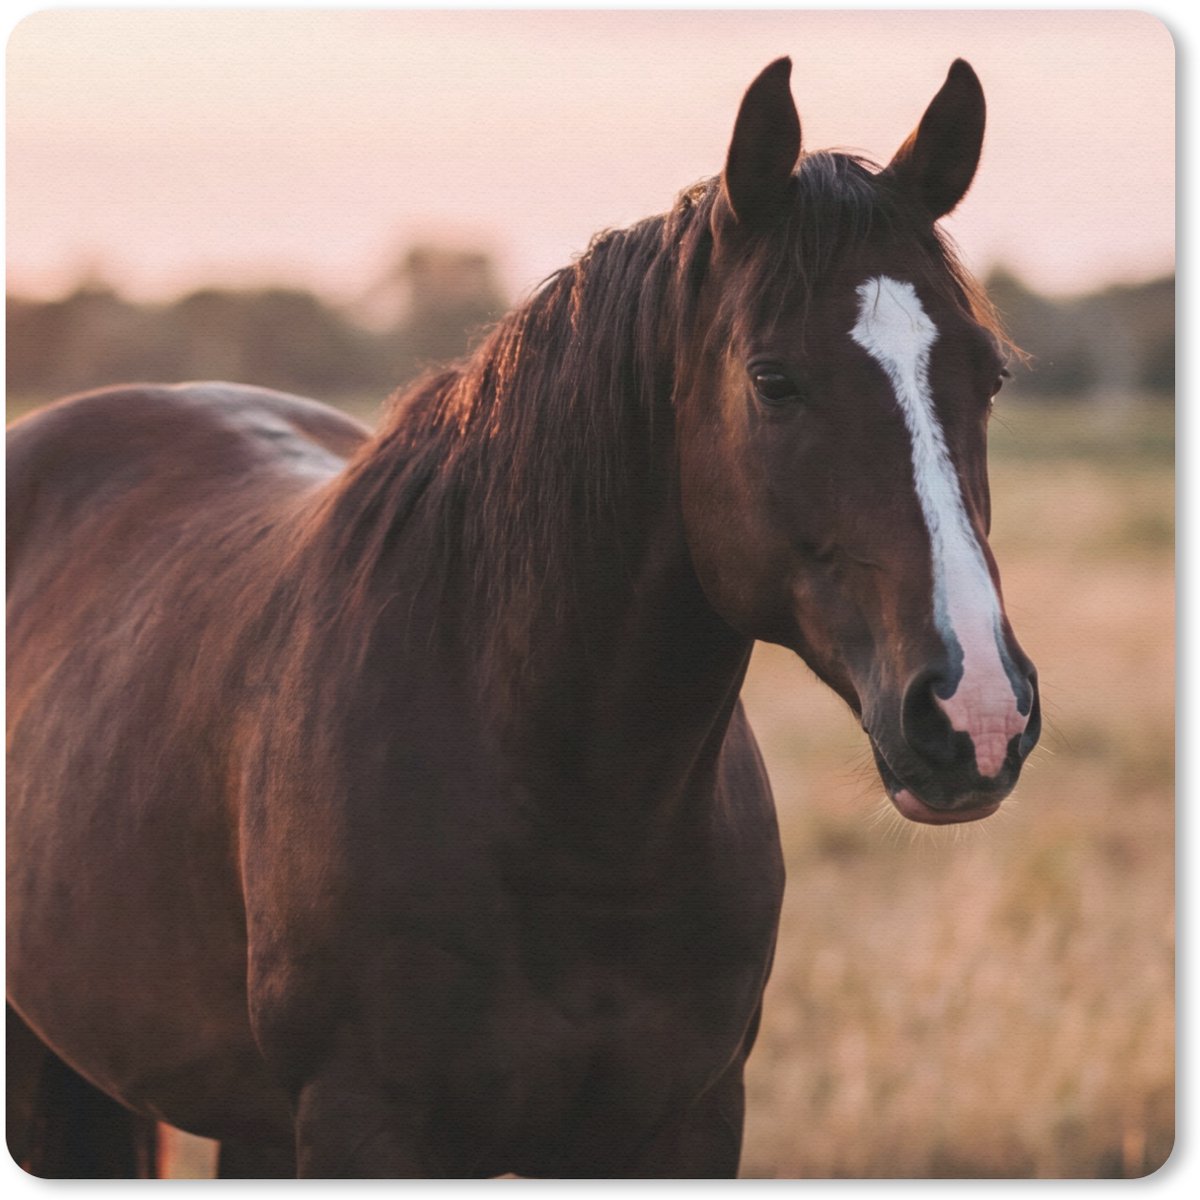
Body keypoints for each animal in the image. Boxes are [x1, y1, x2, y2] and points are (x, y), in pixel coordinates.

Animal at [7, 57, 1039, 1178]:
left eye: (988, 373)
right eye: (773, 379)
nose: (978, 712)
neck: (570, 810)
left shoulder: (686, 1121)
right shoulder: (363, 1125)